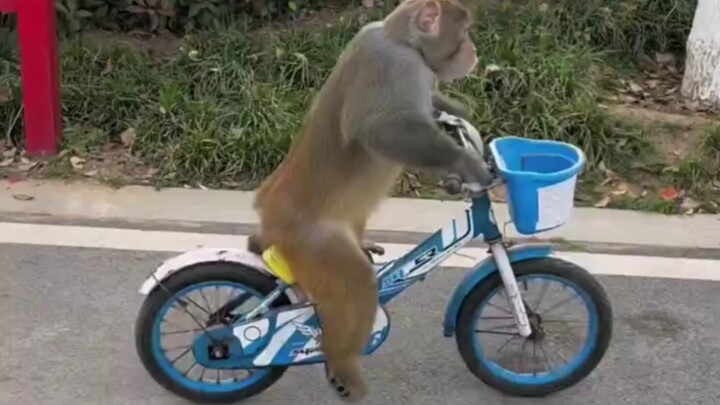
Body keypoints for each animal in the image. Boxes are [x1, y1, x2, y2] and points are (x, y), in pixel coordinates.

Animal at [250, 0, 491, 401]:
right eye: (465, 31)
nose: (474, 50)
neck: (402, 39)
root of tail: (268, 215)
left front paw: (460, 117)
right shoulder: (396, 64)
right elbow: (378, 128)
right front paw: (466, 162)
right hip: (314, 244)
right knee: (356, 285)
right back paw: (343, 367)